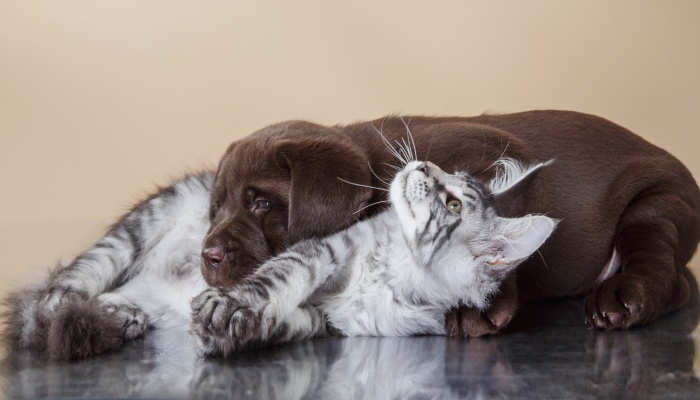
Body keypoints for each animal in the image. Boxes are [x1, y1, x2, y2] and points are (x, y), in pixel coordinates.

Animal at [202, 110, 700, 334]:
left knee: (664, 268)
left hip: (659, 204)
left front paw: (481, 306)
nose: (207, 257)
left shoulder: (491, 148)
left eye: (260, 203)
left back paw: (621, 297)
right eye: (215, 208)